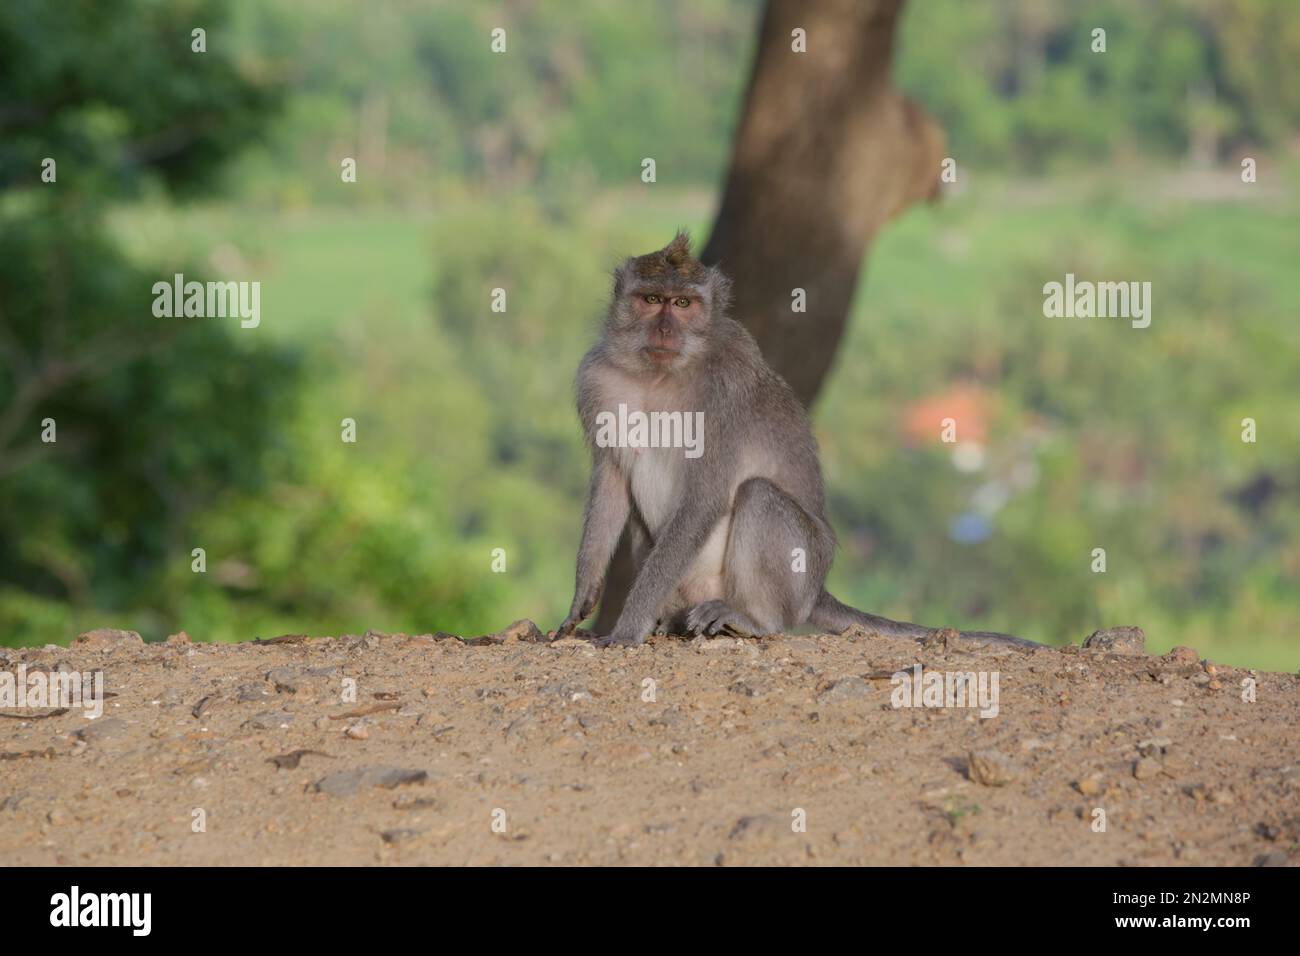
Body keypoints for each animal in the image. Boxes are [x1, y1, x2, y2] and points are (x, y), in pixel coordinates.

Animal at [551, 231, 1034, 650]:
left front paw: (627, 628)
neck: (658, 375)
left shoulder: (723, 396)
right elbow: (612, 481)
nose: (665, 330)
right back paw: (668, 620)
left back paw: (754, 620)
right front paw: (583, 598)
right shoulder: (597, 381)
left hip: (799, 577)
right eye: (652, 300)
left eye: (683, 303)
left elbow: (704, 500)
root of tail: (818, 589)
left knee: (758, 496)